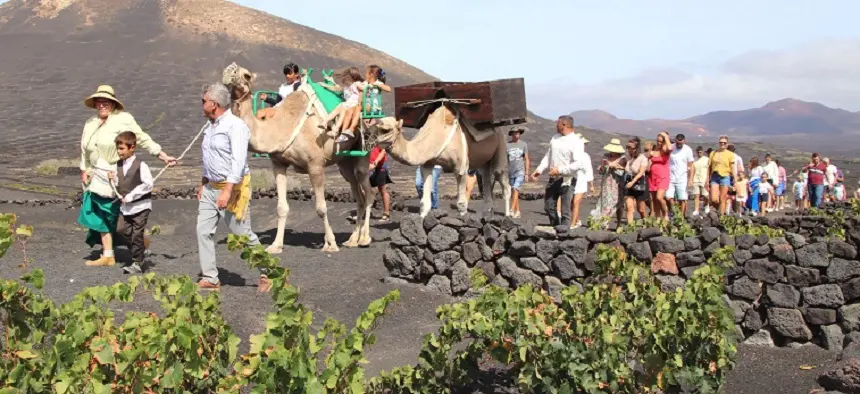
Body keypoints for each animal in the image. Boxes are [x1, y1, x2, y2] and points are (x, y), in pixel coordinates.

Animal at [218, 61, 372, 252]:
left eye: (246, 75)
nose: (229, 70)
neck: (280, 127)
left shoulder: (315, 165)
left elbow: (321, 208)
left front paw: (330, 244)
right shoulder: (278, 164)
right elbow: (281, 208)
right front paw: (276, 246)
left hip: (363, 150)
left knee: (368, 193)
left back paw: (364, 239)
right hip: (344, 162)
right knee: (358, 195)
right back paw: (352, 240)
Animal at [372, 104, 508, 219]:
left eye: (386, 129)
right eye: (377, 129)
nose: (373, 141)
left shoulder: (461, 167)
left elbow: (461, 203)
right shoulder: (427, 165)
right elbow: (424, 203)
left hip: (500, 146)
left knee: (501, 179)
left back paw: (508, 215)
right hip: (484, 163)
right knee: (486, 181)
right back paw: (487, 215)